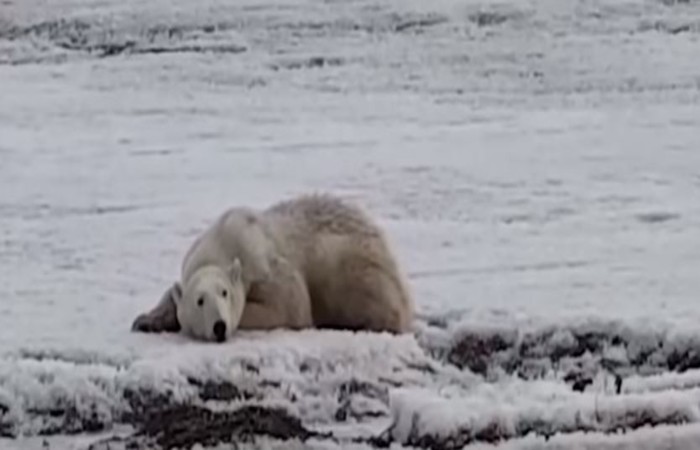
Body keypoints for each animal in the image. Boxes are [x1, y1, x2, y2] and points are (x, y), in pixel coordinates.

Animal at [131, 192, 412, 342]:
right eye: (199, 300)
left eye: (225, 293)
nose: (219, 326)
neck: (223, 241)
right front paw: (145, 320)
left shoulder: (263, 262)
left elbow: (289, 306)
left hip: (349, 262)